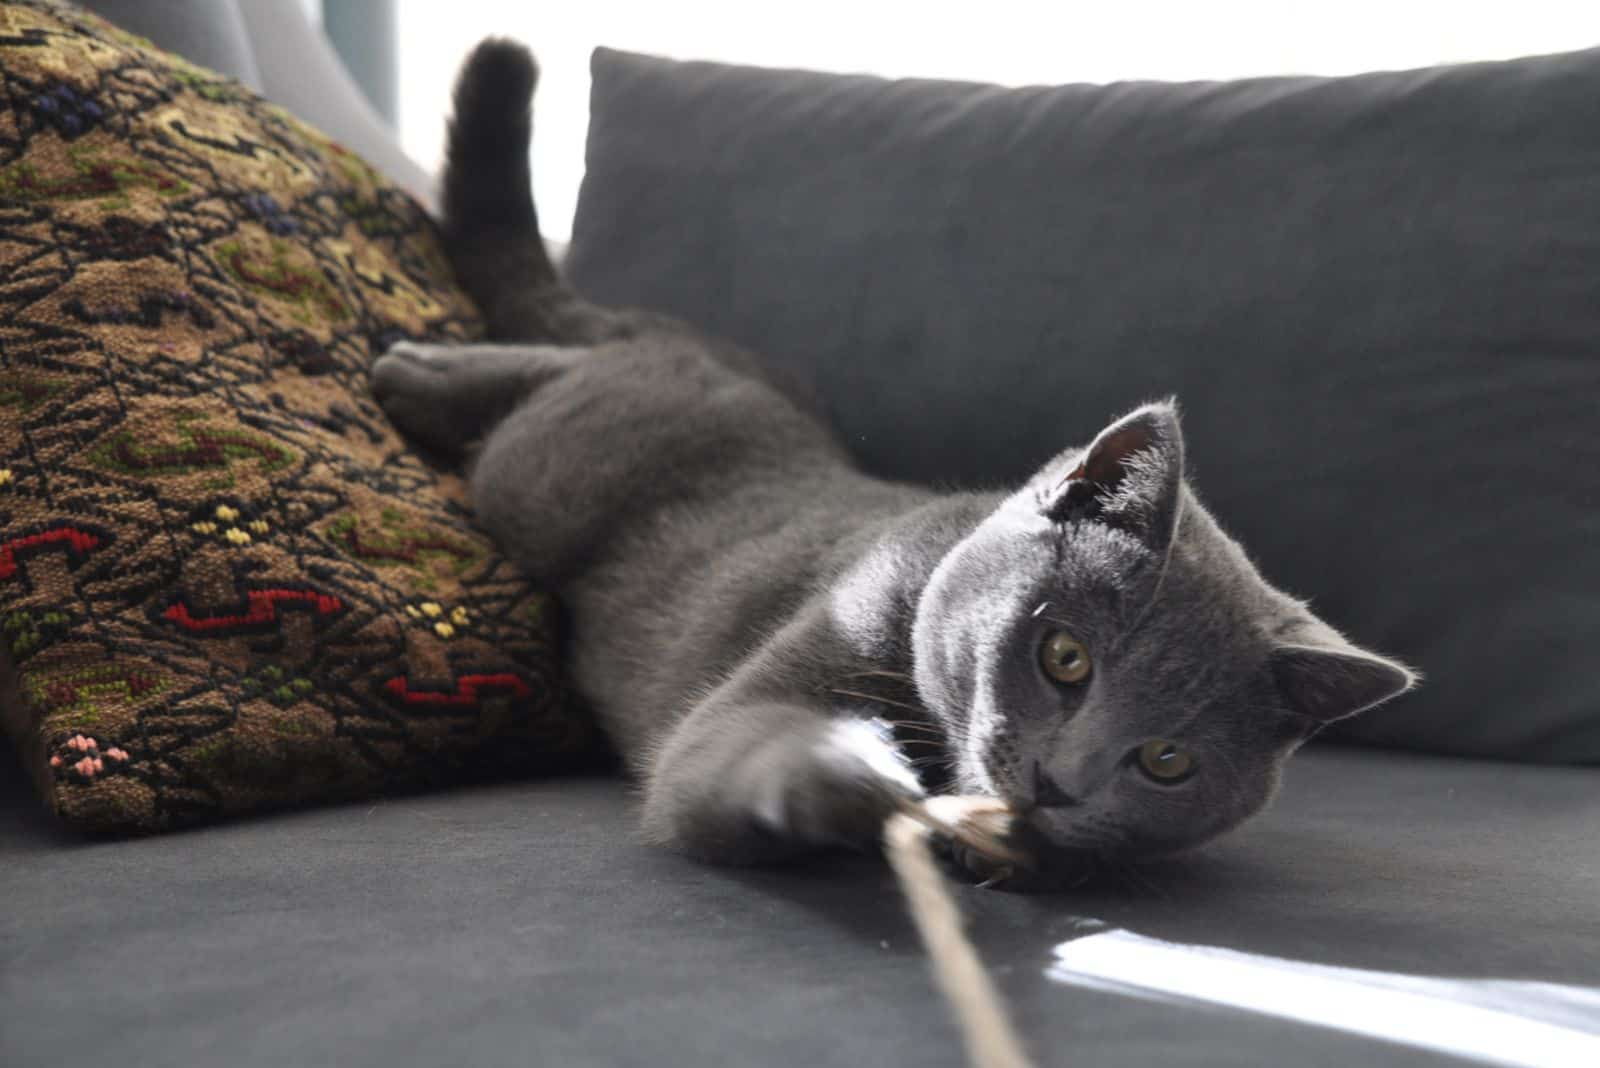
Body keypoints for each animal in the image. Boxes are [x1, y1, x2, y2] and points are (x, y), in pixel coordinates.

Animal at [371, 39, 1414, 882]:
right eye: (1065, 657)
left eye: (1167, 761)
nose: (1059, 783)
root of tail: (697, 348)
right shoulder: (795, 658)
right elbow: (724, 753)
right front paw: (855, 771)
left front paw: (989, 844)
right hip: (557, 469)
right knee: (554, 378)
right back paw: (410, 371)